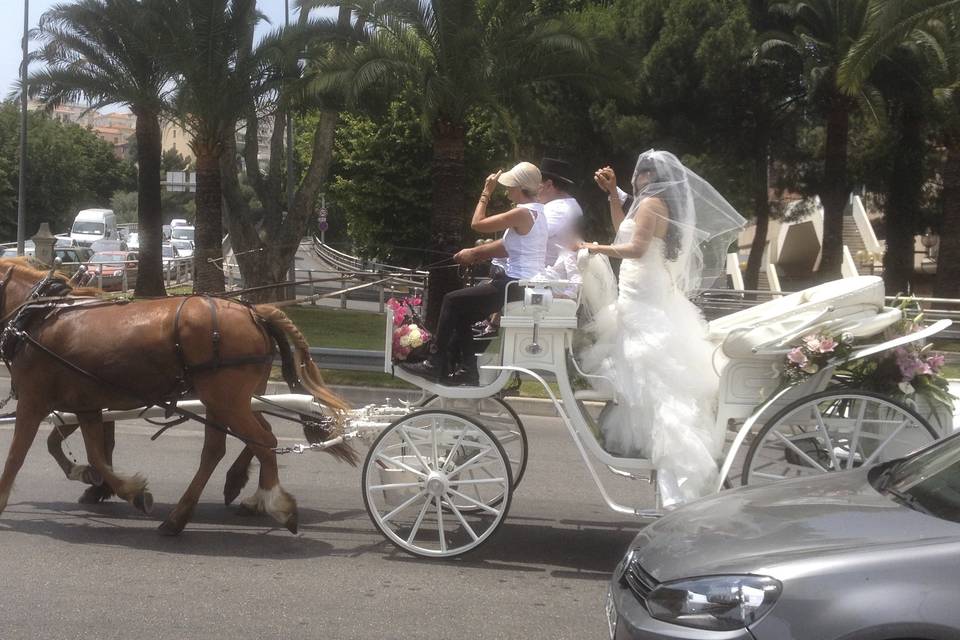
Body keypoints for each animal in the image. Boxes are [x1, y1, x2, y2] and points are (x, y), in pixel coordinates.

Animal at [0, 258, 354, 536]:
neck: (40, 316)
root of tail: (254, 313)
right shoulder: (86, 404)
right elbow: (96, 454)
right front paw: (121, 488)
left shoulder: (35, 401)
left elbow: (18, 456)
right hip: (225, 400)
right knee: (227, 446)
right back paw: (189, 512)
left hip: (225, 399)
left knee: (261, 440)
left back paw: (272, 503)